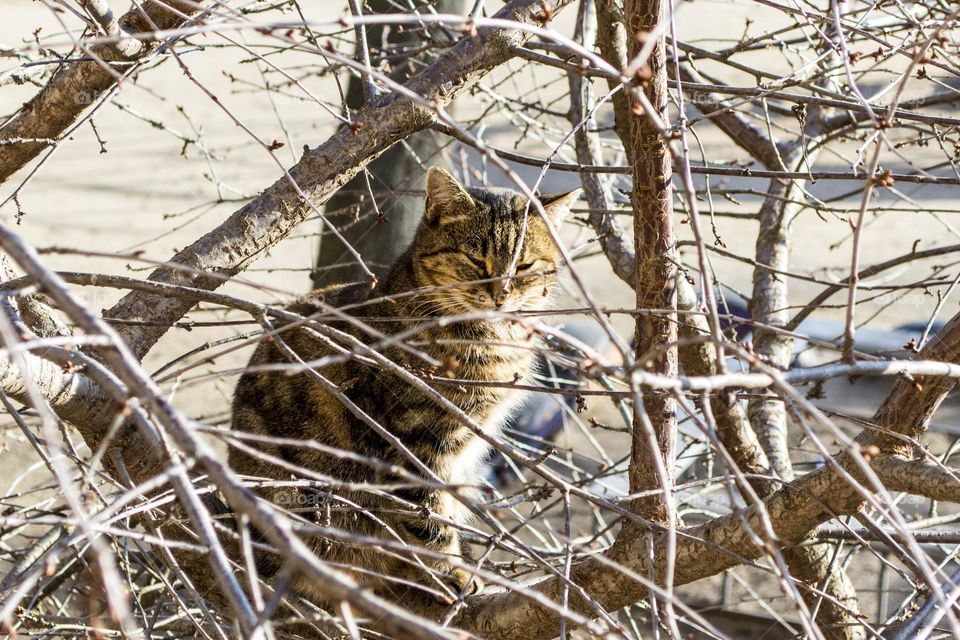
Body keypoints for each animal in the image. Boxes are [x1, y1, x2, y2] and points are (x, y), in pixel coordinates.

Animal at [232, 166, 576, 604]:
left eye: (525, 266)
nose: (501, 294)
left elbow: (445, 508)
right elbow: (427, 517)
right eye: (474, 259)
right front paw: (449, 570)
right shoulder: (415, 442)